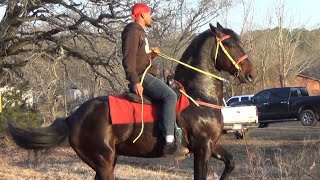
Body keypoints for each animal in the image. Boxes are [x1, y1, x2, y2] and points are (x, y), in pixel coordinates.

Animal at [7, 22, 254, 180]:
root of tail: (74, 117)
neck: (198, 97)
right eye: (231, 45)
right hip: (104, 162)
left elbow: (231, 162)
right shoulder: (202, 148)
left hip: (107, 161)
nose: (250, 74)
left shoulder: (212, 145)